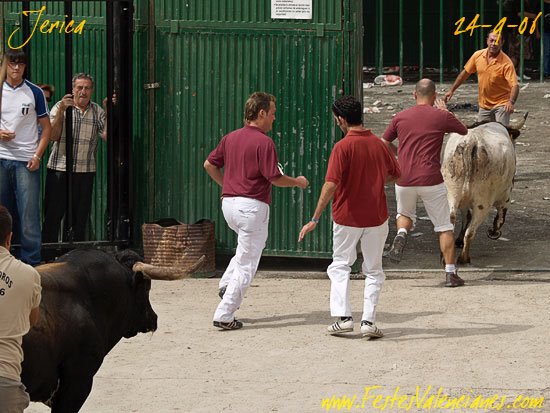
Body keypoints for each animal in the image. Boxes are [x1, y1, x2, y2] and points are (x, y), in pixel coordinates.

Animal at [442, 116, 528, 264]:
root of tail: (471, 142)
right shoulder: (506, 196)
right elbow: (500, 217)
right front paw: (494, 231)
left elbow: (465, 215)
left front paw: (458, 240)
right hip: (483, 204)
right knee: (471, 232)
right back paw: (464, 258)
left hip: (452, 194)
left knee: (451, 220)